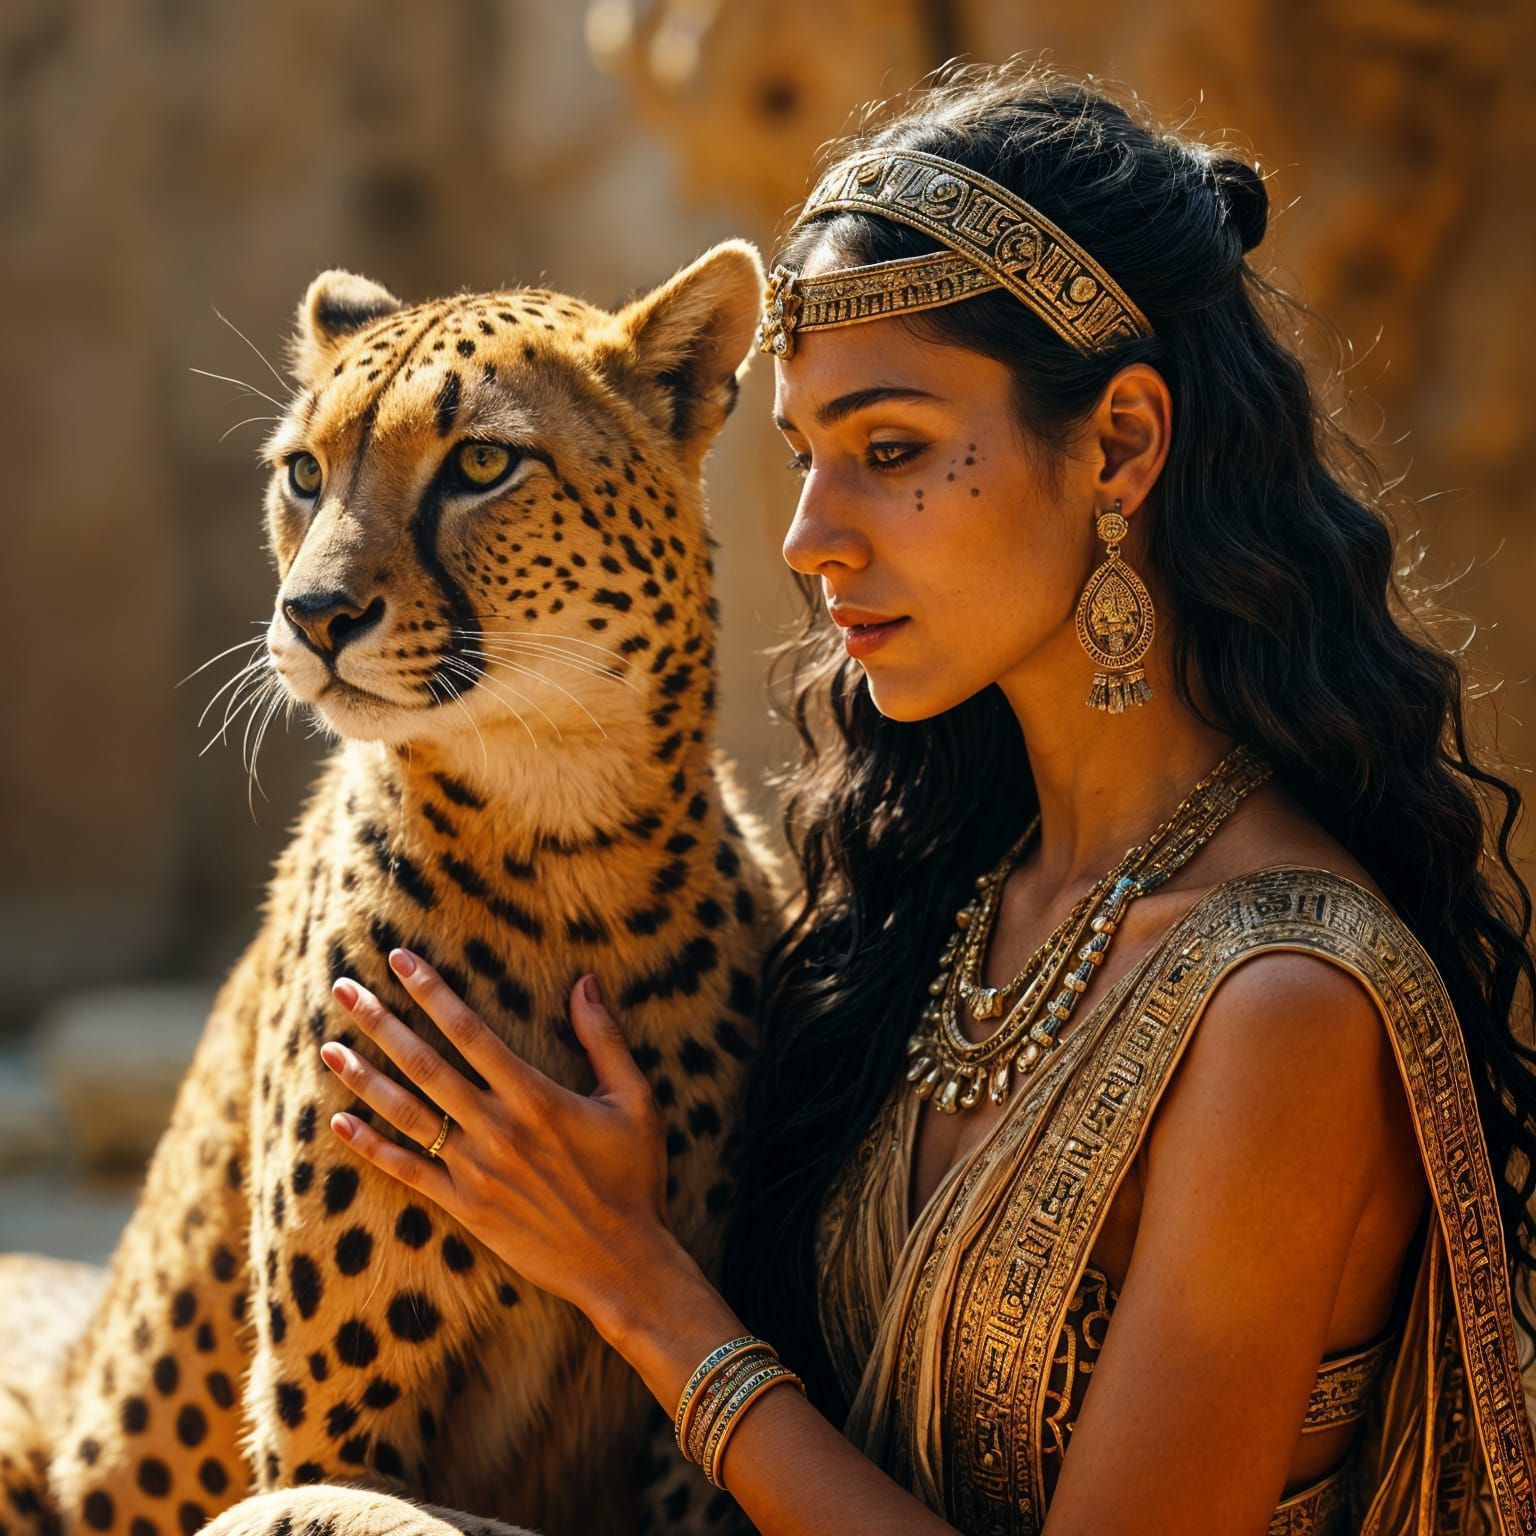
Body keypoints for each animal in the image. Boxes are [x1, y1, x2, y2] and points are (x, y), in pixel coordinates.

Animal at [0, 240, 784, 1536]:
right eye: (304, 474)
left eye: (481, 463)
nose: (312, 615)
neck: (568, 839)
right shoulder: (331, 1433)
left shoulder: (683, 1446)